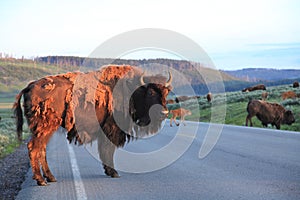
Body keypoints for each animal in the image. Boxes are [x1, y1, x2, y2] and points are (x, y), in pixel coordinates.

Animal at [13, 65, 173, 186]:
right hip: (45, 127)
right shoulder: (111, 129)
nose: (164, 113)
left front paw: (109, 171)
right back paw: (41, 180)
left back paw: (50, 178)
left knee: (41, 149)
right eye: (151, 92)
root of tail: (30, 86)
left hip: (45, 129)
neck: (132, 89)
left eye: (166, 93)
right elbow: (108, 150)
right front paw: (114, 173)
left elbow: (106, 150)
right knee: (34, 148)